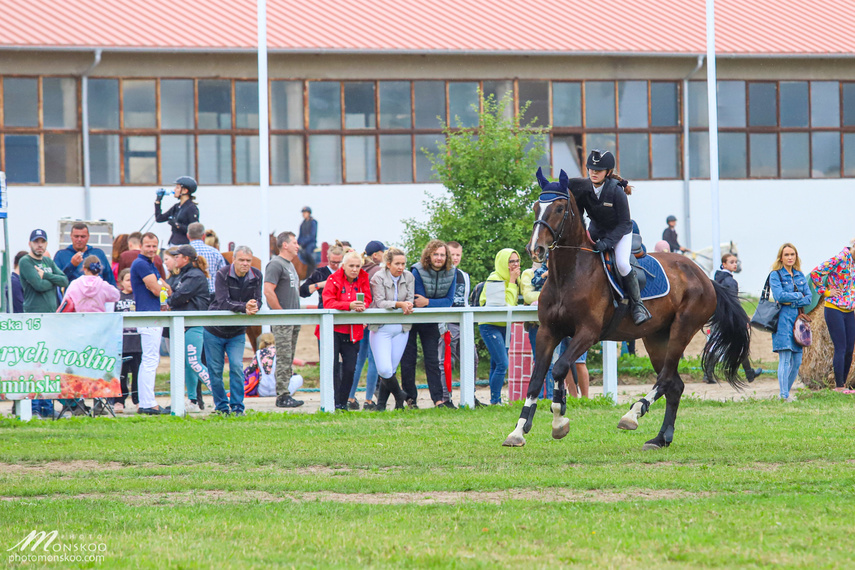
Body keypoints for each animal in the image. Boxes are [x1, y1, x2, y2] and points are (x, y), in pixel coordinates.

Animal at [504, 169, 752, 448]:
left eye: (558, 208)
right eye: (536, 206)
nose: (535, 249)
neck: (567, 275)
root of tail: (705, 277)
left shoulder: (588, 333)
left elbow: (559, 368)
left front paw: (558, 419)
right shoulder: (548, 332)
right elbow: (538, 379)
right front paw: (519, 430)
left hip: (682, 329)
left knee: (665, 379)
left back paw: (633, 414)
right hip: (656, 337)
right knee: (675, 385)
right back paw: (661, 438)